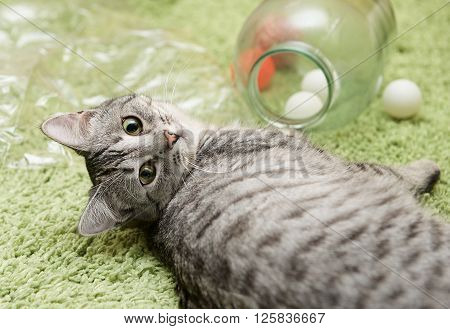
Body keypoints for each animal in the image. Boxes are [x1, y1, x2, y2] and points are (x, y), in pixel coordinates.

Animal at [40, 93, 448, 308]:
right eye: (146, 174)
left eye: (132, 125)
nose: (169, 138)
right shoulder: (337, 164)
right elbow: (392, 171)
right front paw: (428, 168)